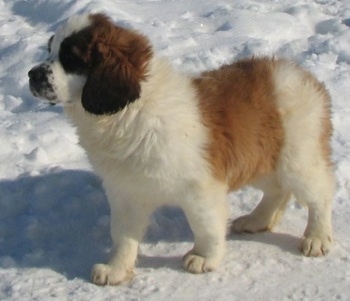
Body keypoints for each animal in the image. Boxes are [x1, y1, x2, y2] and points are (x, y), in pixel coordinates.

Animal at [27, 13, 334, 286]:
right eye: (50, 49)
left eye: (71, 58)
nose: (32, 74)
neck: (130, 111)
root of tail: (304, 76)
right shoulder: (126, 191)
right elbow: (122, 234)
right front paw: (116, 268)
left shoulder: (201, 187)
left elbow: (205, 225)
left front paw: (205, 257)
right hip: (261, 158)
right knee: (278, 190)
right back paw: (257, 220)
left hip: (296, 159)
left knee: (319, 193)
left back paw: (317, 237)